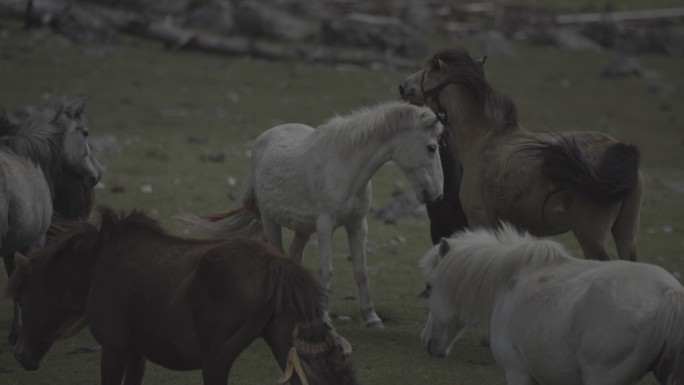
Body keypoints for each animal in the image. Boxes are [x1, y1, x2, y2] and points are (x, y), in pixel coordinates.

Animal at [6, 207, 358, 384]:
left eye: (22, 298)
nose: (20, 354)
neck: (97, 267)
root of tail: (274, 263)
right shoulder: (136, 352)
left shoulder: (115, 347)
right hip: (283, 346)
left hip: (217, 360)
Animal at [183, 100, 444, 328]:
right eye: (432, 147)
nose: (437, 194)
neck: (345, 167)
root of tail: (264, 137)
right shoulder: (325, 225)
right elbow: (326, 271)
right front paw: (325, 317)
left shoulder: (357, 224)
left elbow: (361, 272)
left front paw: (371, 318)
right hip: (270, 222)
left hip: (303, 229)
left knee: (294, 257)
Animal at [398, 46, 644, 260]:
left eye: (429, 71)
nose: (404, 86)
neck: (482, 138)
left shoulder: (479, 221)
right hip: (625, 233)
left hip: (591, 237)